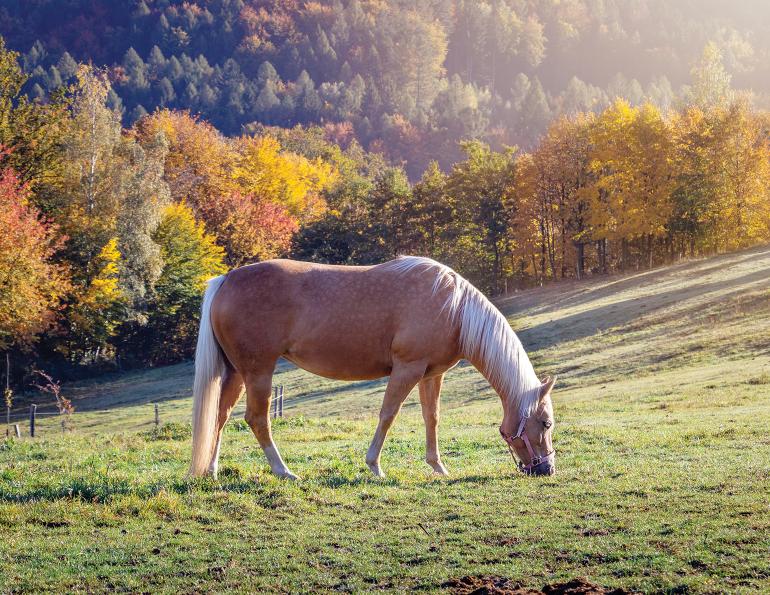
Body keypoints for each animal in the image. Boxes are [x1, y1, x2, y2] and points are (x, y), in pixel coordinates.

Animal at [189, 256, 557, 480]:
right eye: (546, 423)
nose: (547, 469)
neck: (453, 308)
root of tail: (226, 279)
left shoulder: (431, 374)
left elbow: (432, 417)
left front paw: (438, 467)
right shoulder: (407, 369)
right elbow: (388, 415)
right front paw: (375, 466)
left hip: (236, 374)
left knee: (220, 417)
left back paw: (212, 470)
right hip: (258, 373)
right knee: (257, 419)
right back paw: (284, 471)